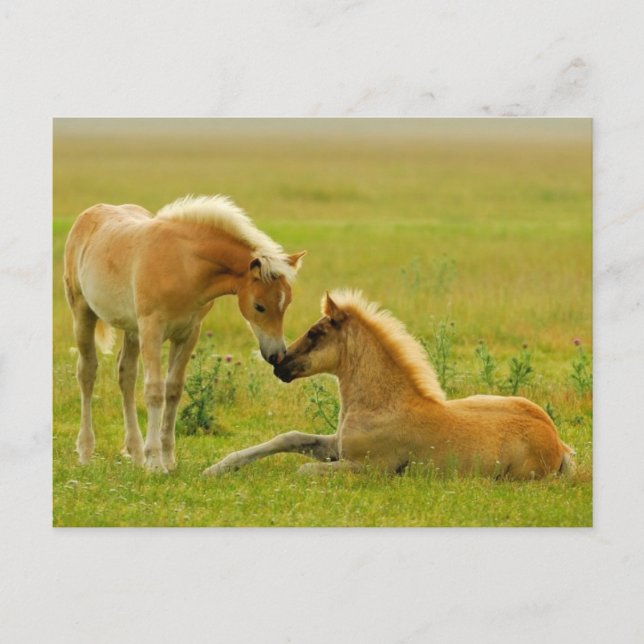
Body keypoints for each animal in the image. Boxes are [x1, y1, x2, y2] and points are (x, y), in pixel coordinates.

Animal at [64, 194, 305, 472]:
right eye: (259, 306)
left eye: (287, 303)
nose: (277, 355)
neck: (184, 265)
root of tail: (89, 214)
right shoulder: (152, 331)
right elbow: (155, 391)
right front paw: (155, 462)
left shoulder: (188, 334)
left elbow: (173, 391)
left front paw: (168, 459)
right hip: (83, 312)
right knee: (87, 372)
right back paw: (86, 452)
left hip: (132, 330)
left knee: (126, 375)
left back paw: (135, 453)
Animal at [203, 290, 575, 479]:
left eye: (315, 332)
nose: (279, 365)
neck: (383, 404)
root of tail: (558, 444)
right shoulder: (337, 445)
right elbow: (289, 438)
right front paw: (215, 468)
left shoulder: (370, 467)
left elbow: (304, 469)